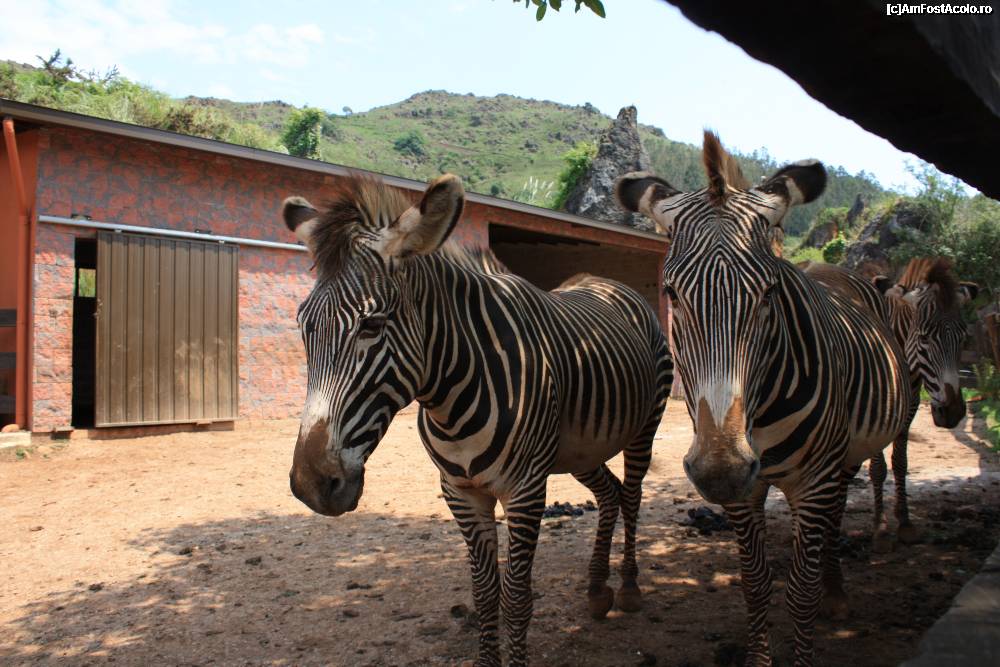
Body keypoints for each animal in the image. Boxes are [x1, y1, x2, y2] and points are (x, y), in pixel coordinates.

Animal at [283, 173, 672, 667]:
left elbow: (518, 598)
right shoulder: (461, 492)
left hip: (644, 427)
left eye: (371, 325)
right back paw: (597, 590)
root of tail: (609, 282)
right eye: (303, 325)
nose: (311, 484)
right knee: (610, 493)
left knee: (633, 495)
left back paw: (628, 588)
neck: (450, 399)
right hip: (580, 447)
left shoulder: (525, 491)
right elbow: (485, 594)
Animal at [615, 132, 910, 667]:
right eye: (671, 293)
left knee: (834, 520)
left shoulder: (813, 481)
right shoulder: (743, 494)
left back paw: (837, 593)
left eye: (769, 293)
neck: (761, 414)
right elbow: (755, 586)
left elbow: (800, 593)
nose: (721, 470)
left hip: (839, 460)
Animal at [802, 259, 978, 551]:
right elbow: (878, 468)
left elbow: (900, 461)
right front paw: (880, 528)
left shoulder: (911, 402)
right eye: (925, 337)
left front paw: (904, 522)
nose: (952, 413)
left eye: (964, 337)